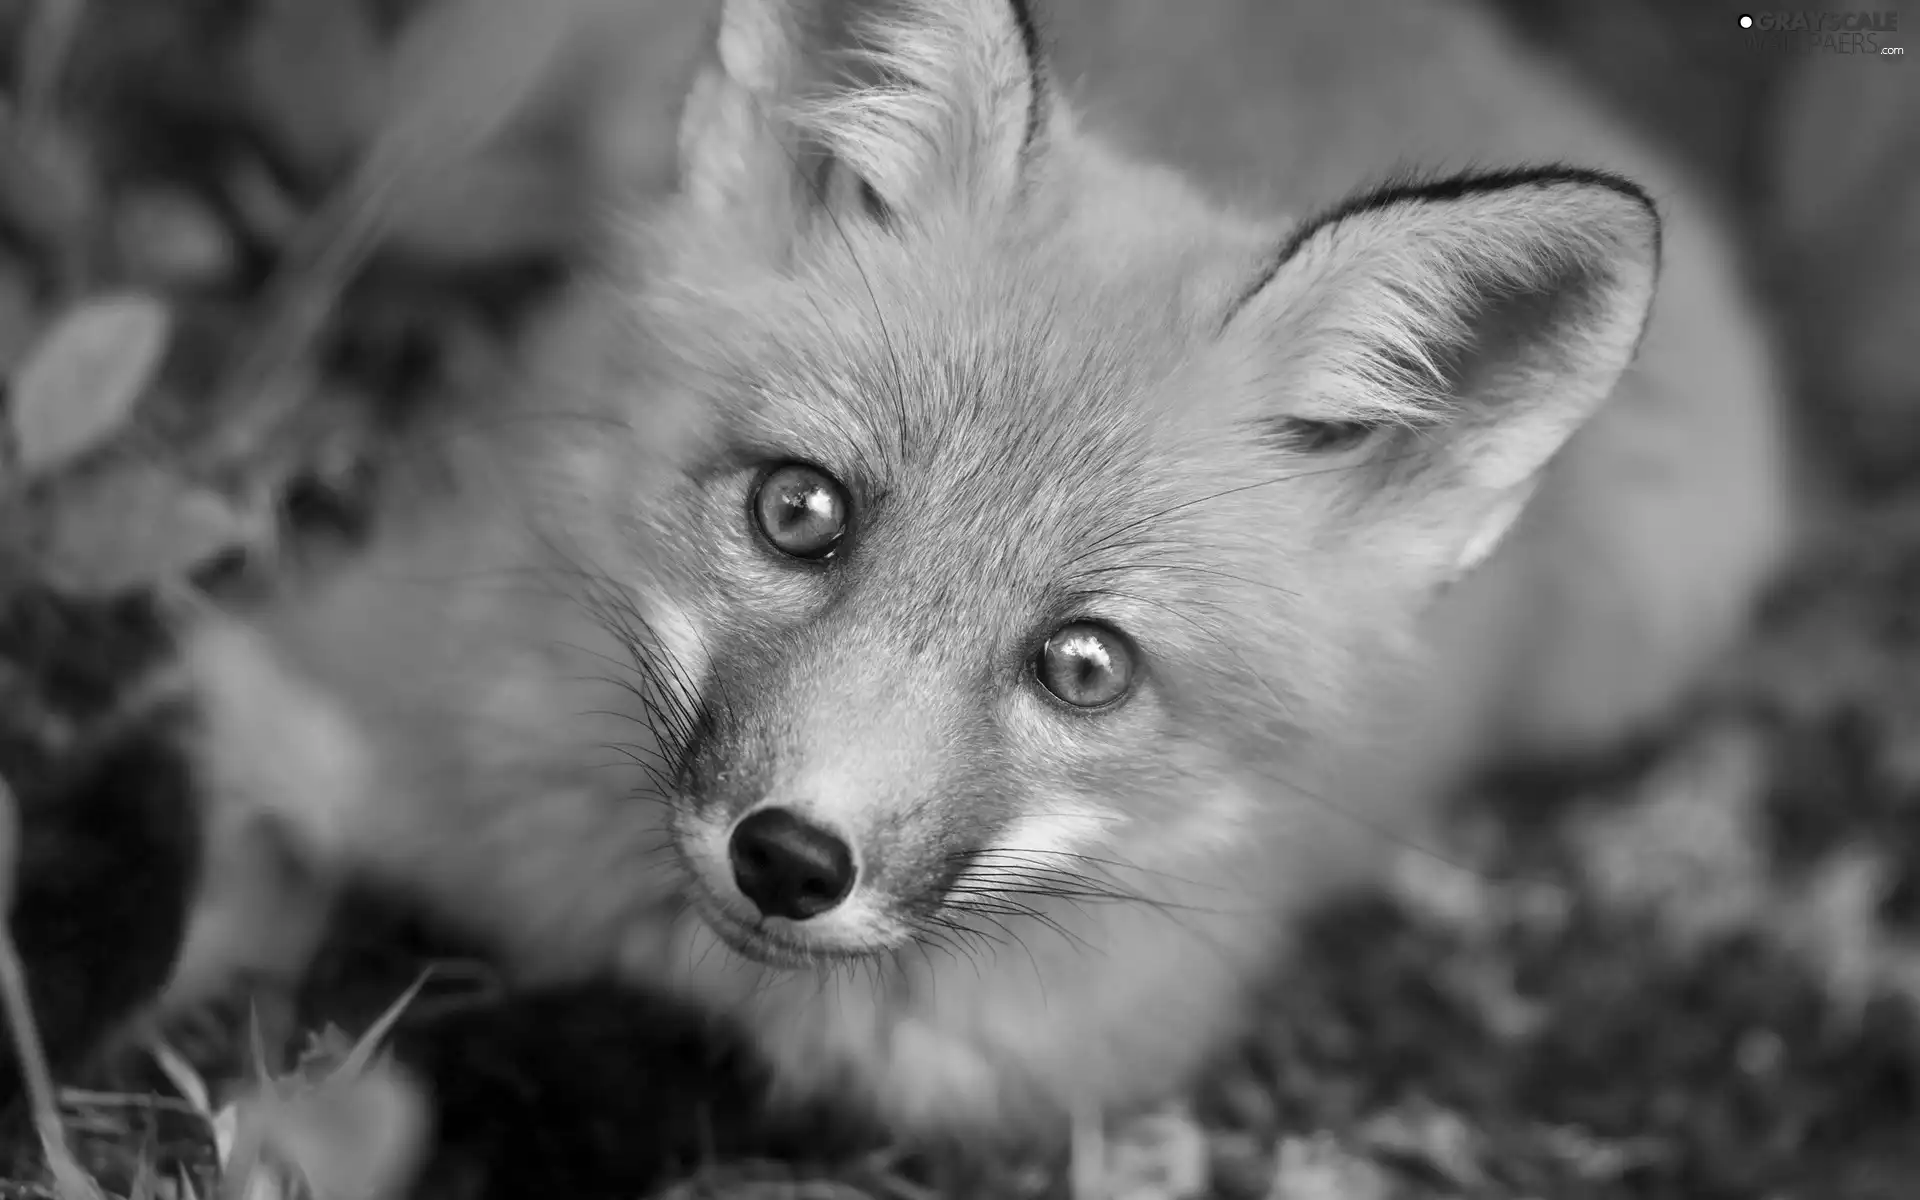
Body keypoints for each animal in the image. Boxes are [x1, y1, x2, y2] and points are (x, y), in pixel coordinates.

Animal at [168, 0, 1797, 1144]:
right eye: (798, 512)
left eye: (1083, 665)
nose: (790, 860)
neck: (655, 948)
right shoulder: (309, 687)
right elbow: (221, 919)